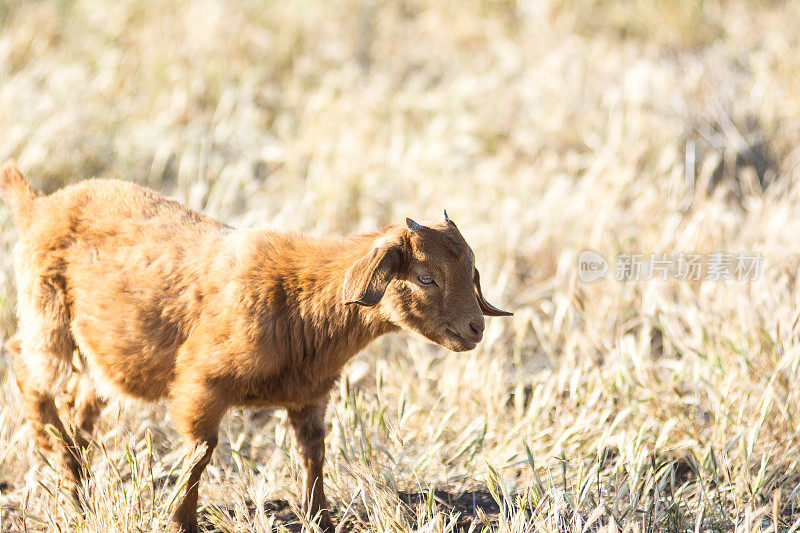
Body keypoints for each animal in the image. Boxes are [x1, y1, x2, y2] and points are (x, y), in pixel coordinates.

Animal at [0, 162, 512, 532]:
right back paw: (60, 461)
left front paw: (321, 519)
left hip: (100, 354)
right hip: (47, 318)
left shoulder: (309, 396)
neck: (300, 300)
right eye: (425, 278)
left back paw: (79, 482)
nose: (474, 330)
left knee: (81, 400)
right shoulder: (199, 385)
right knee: (29, 373)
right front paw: (180, 521)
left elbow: (313, 455)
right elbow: (201, 451)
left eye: (471, 273)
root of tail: (40, 204)